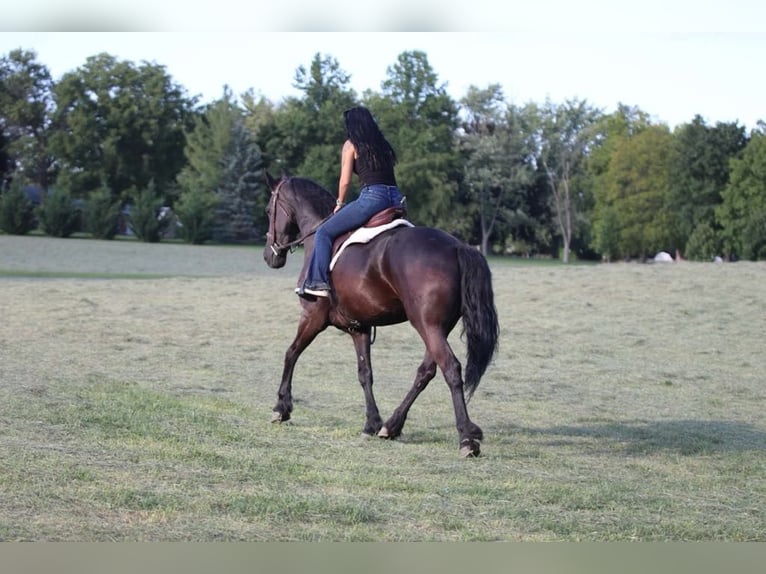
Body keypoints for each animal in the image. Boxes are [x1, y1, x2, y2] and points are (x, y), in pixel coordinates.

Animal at [262, 172, 500, 457]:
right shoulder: (359, 327)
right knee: (426, 372)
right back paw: (392, 425)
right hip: (437, 327)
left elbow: (291, 353)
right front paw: (372, 423)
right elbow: (365, 373)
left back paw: (466, 438)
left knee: (451, 369)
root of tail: (457, 247)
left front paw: (281, 408)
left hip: (427, 326)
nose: (269, 256)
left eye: (268, 210)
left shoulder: (313, 317)